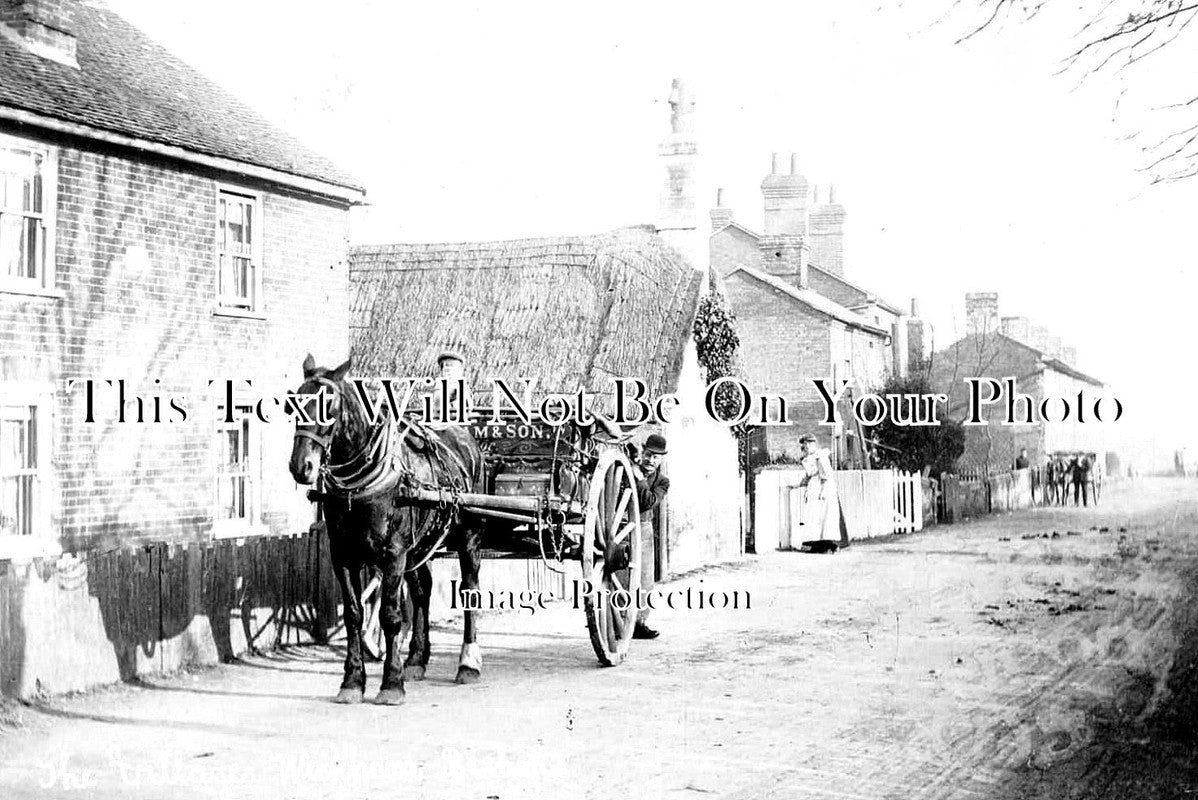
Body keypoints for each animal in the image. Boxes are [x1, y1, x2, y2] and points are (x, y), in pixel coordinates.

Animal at [288, 352, 486, 704]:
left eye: (330, 406)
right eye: (293, 404)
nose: (301, 466)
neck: (360, 485)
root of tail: (466, 439)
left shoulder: (393, 554)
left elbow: (390, 616)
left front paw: (391, 683)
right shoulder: (343, 555)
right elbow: (354, 615)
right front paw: (352, 681)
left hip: (468, 537)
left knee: (469, 590)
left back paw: (468, 663)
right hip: (421, 546)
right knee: (421, 592)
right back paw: (417, 659)